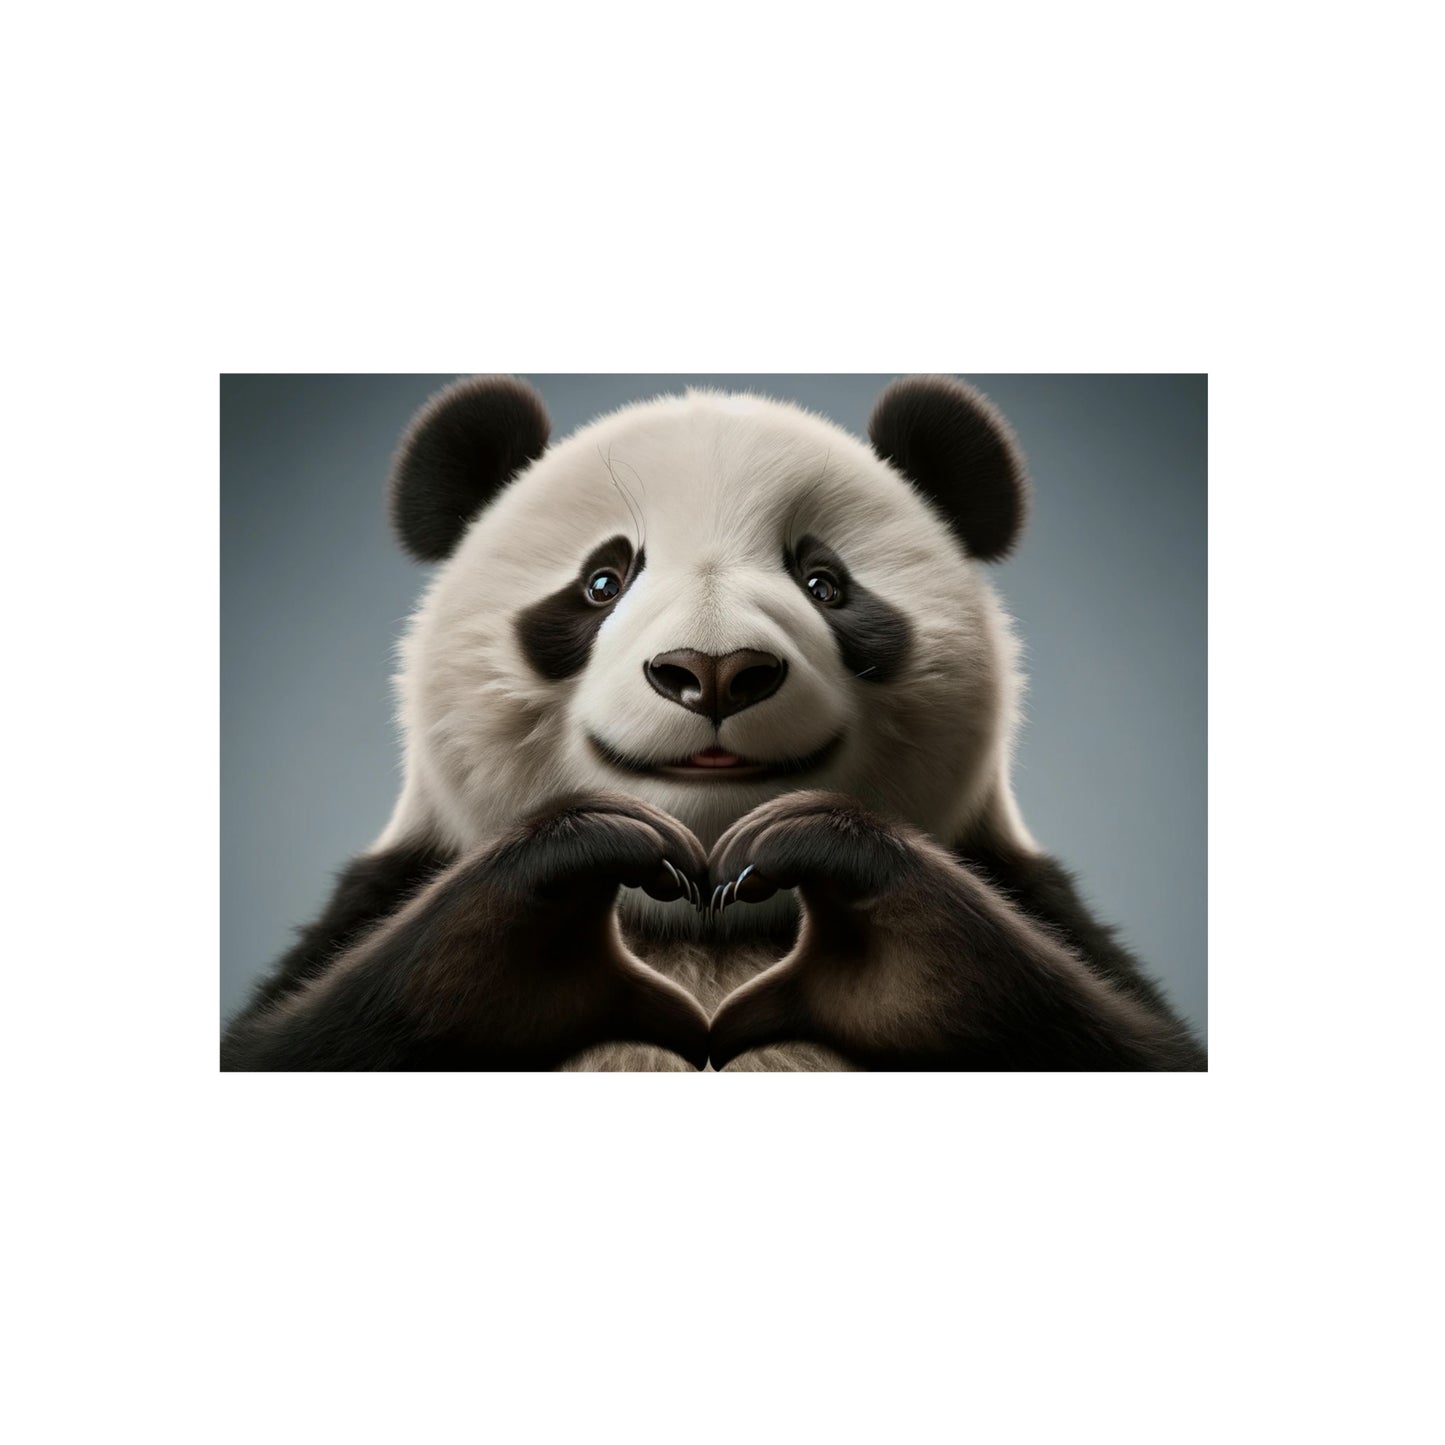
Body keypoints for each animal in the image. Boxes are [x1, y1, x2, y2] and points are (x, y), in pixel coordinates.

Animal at [221, 374, 1206, 1071]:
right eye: (602, 580)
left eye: (826, 583)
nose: (714, 671)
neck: (704, 927)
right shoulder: (382, 893)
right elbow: (299, 1040)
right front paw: (576, 875)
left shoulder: (1028, 891)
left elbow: (1123, 1040)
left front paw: (839, 886)